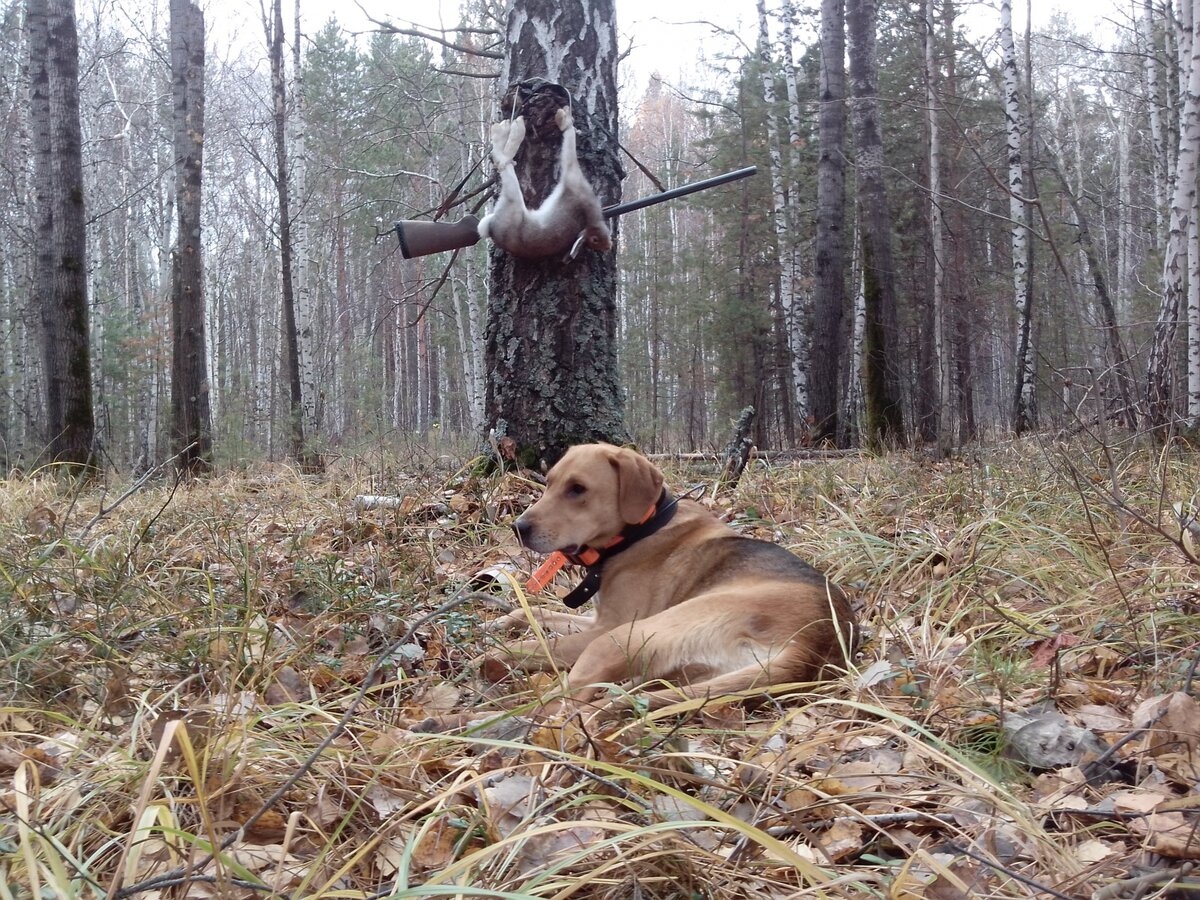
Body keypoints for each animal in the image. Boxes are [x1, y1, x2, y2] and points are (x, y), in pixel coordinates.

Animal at [487, 441, 854, 715]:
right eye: (548, 483)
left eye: (578, 489)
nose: (518, 528)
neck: (641, 530)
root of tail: (814, 646)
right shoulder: (597, 619)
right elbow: (533, 612)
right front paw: (500, 622)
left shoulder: (606, 627)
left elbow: (532, 644)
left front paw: (498, 647)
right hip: (681, 673)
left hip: (625, 638)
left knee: (563, 702)